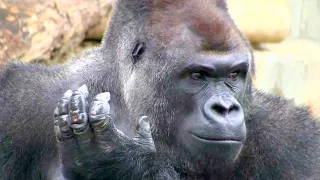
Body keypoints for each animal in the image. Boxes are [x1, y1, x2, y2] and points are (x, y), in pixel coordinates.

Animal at [0, 0, 320, 179]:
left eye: (234, 74)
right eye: (198, 76)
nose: (226, 108)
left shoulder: (295, 139)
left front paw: (122, 164)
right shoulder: (17, 101)